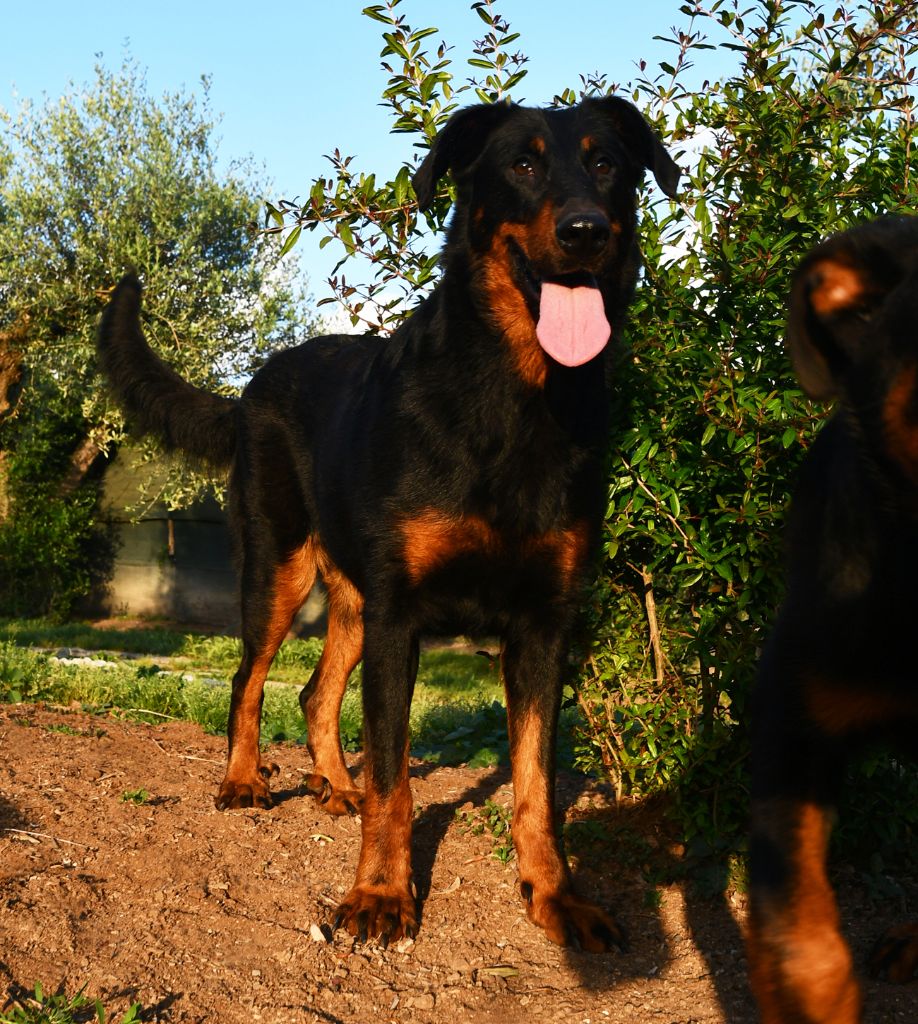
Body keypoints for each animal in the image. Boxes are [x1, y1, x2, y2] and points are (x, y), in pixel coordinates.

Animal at [96, 99, 676, 946]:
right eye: (524, 164)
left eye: (607, 164)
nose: (585, 231)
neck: (514, 399)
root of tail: (250, 389)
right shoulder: (401, 615)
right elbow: (396, 779)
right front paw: (379, 893)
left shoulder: (540, 624)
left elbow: (534, 784)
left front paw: (554, 894)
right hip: (278, 569)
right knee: (248, 677)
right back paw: (242, 781)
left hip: (351, 597)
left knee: (314, 693)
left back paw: (335, 784)